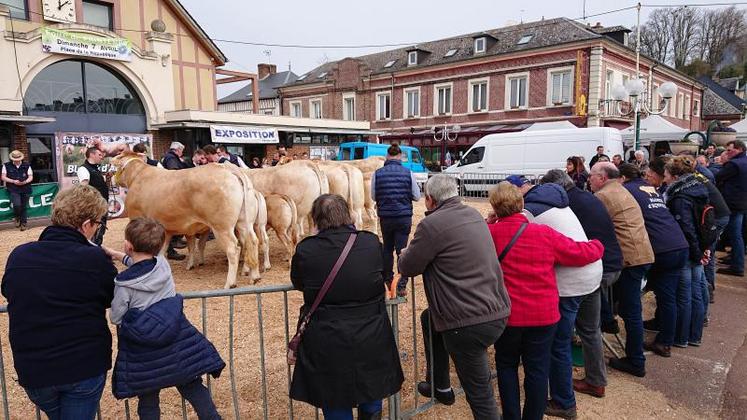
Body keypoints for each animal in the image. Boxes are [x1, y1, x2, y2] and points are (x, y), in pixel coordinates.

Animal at [111, 153, 260, 288]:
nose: (111, 179)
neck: (137, 176)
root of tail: (227, 169)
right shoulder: (167, 229)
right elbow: (164, 251)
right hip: (243, 222)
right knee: (252, 241)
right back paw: (254, 277)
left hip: (222, 227)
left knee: (233, 249)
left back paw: (230, 283)